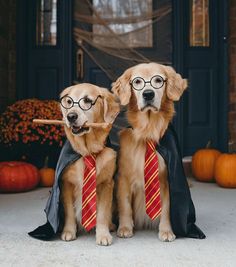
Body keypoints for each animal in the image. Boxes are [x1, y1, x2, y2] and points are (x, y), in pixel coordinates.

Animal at [60, 82, 120, 246]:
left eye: (87, 100)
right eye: (68, 102)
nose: (71, 116)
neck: (87, 151)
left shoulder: (106, 184)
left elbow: (103, 213)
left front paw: (103, 234)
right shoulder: (66, 183)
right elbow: (69, 211)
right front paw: (68, 231)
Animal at [112, 62, 188, 243]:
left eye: (158, 80)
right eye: (137, 82)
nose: (148, 94)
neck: (148, 132)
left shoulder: (165, 180)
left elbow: (166, 208)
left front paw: (166, 231)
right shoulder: (124, 179)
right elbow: (125, 205)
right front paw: (125, 228)